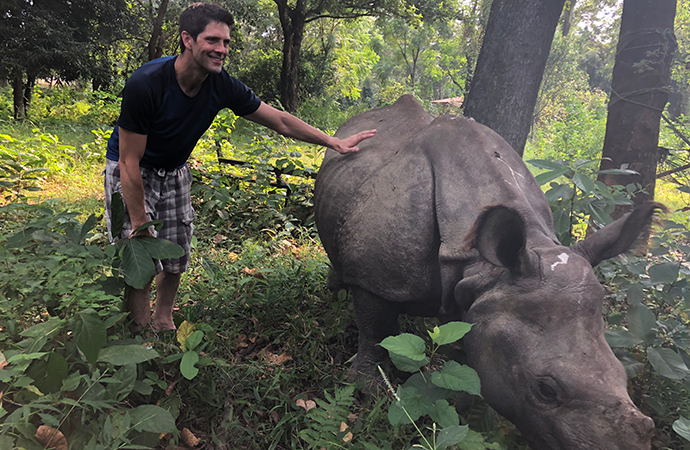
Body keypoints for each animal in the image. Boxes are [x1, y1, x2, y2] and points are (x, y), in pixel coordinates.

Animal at [312, 96, 656, 450]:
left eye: (623, 376)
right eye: (546, 390)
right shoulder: (376, 280)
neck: (484, 265)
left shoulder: (483, 295)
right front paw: (368, 393)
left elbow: (471, 361)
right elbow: (376, 331)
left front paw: (465, 411)